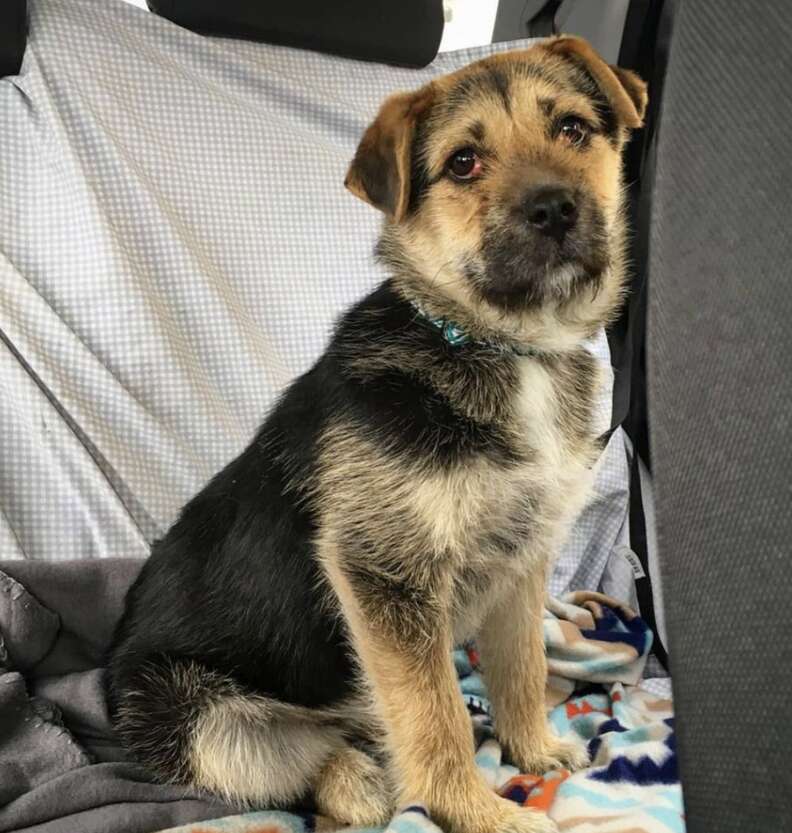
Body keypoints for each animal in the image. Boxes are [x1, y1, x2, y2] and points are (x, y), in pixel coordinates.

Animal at [105, 35, 648, 832]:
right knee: (293, 760)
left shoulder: (523, 559)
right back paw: (356, 781)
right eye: (464, 163)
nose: (554, 207)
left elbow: (521, 665)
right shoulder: (385, 573)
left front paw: (533, 748)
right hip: (201, 716)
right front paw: (476, 810)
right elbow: (436, 715)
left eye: (574, 129)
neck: (506, 348)